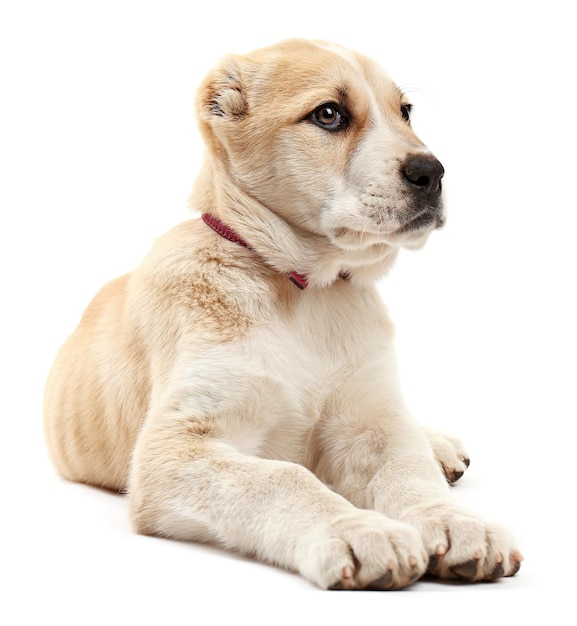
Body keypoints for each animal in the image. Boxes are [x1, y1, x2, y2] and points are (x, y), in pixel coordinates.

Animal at [44, 37, 520, 584]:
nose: (433, 172)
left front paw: (454, 520)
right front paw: (357, 530)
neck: (303, 293)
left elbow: (408, 469)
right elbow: (283, 477)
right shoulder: (176, 449)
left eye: (405, 111)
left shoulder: (369, 422)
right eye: (329, 114)